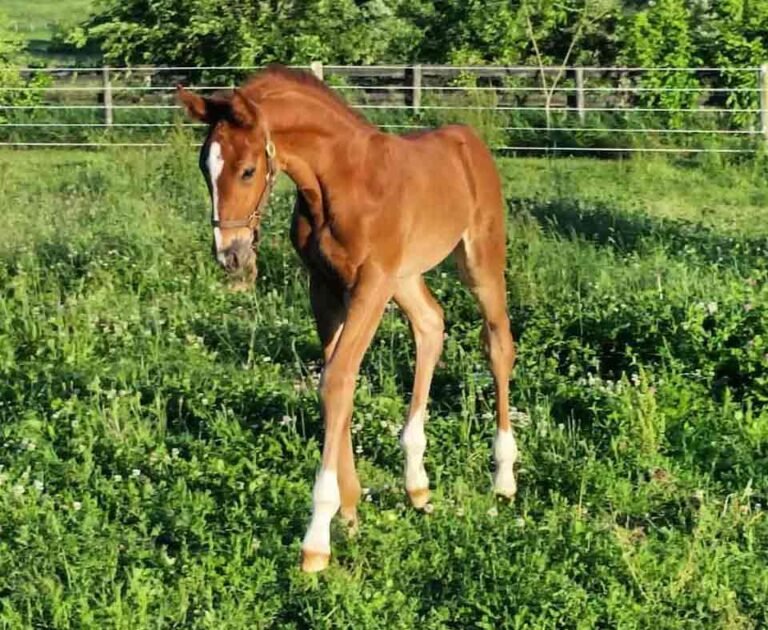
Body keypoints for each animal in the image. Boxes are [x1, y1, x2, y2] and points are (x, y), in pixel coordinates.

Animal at [177, 65, 519, 573]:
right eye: (205, 169)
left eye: (248, 170)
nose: (231, 256)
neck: (338, 182)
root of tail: (468, 139)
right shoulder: (324, 286)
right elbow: (338, 382)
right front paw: (351, 511)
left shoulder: (370, 284)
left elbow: (336, 379)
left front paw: (316, 538)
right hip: (405, 275)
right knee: (431, 324)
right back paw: (417, 483)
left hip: (479, 260)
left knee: (497, 344)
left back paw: (503, 478)